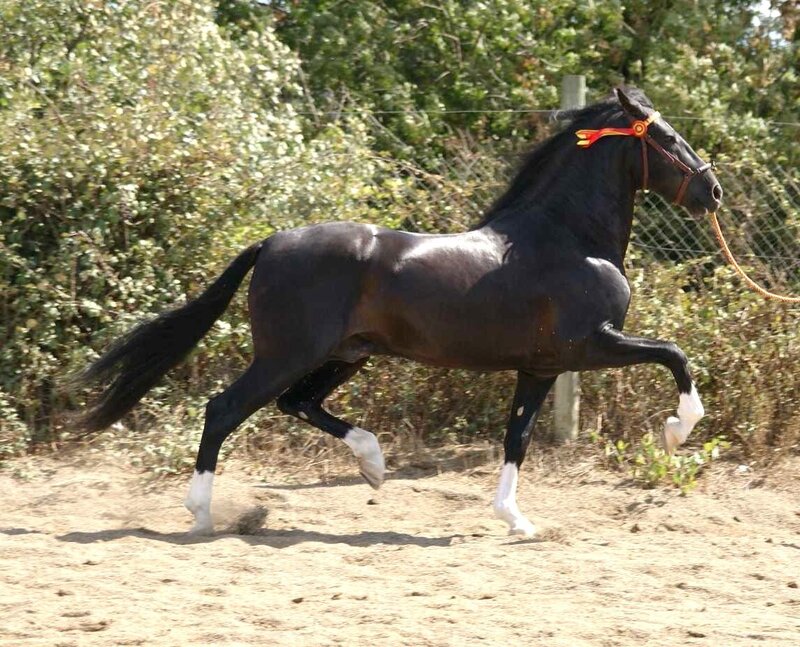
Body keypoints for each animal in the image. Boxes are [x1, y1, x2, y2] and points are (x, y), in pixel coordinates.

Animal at [75, 87, 722, 537]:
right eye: (665, 138)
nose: (712, 192)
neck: (569, 239)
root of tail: (271, 242)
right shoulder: (591, 344)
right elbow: (675, 355)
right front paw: (675, 432)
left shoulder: (541, 368)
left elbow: (518, 438)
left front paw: (515, 521)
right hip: (288, 355)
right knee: (225, 409)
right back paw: (203, 513)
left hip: (348, 354)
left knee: (298, 403)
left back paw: (373, 464)